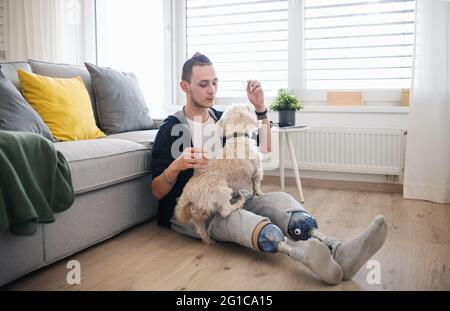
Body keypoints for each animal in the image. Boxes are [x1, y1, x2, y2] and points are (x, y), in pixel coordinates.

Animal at [173, 103, 264, 245]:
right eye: (244, 107)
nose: (249, 104)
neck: (237, 137)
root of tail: (187, 197)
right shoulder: (257, 168)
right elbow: (257, 183)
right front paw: (258, 193)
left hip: (197, 216)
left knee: (200, 229)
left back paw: (208, 240)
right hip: (222, 190)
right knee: (225, 211)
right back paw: (239, 202)